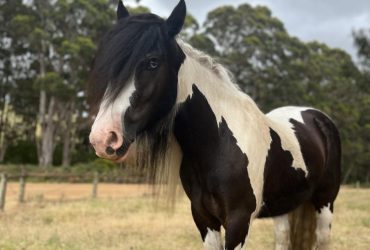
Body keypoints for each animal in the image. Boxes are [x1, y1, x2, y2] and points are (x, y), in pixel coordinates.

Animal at [87, 0, 342, 249]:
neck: (219, 143)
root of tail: (317, 117)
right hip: (283, 206)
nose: (103, 138)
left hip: (325, 202)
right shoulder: (203, 218)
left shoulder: (239, 221)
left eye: (152, 62)